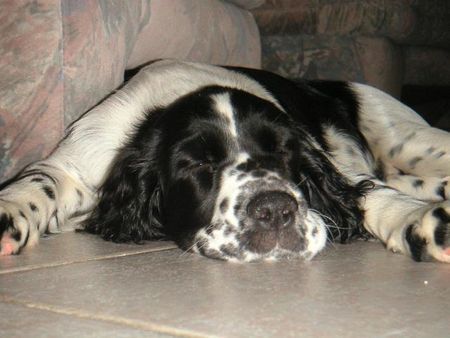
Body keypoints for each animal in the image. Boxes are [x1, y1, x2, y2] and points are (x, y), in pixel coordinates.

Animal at [0, 59, 450, 262]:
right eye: (197, 165)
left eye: (283, 151)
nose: (275, 211)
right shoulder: (82, 158)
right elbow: (40, 179)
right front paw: (8, 213)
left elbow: (369, 192)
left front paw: (419, 222)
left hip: (408, 138)